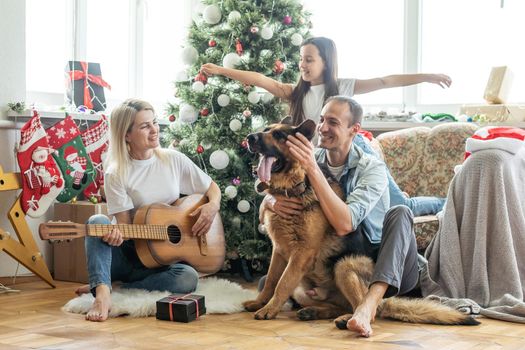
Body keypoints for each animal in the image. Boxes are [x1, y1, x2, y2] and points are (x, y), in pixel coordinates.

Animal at [244, 119, 476, 330]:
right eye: (266, 129)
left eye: (279, 136)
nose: (249, 137)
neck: (298, 184)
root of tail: (385, 300)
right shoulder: (280, 251)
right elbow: (272, 280)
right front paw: (260, 302)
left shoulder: (302, 253)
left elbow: (282, 284)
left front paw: (268, 310)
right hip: (302, 287)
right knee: (339, 305)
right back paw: (315, 312)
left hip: (344, 265)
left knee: (366, 308)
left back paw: (352, 319)